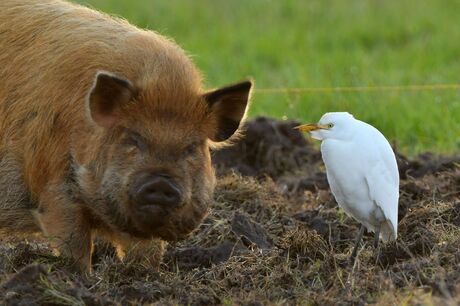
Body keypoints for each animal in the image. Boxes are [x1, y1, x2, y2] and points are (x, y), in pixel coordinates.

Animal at [0, 0, 252, 272]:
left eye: (192, 148)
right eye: (133, 139)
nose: (161, 182)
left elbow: (147, 253)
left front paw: (143, 275)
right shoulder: (52, 188)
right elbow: (75, 246)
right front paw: (80, 277)